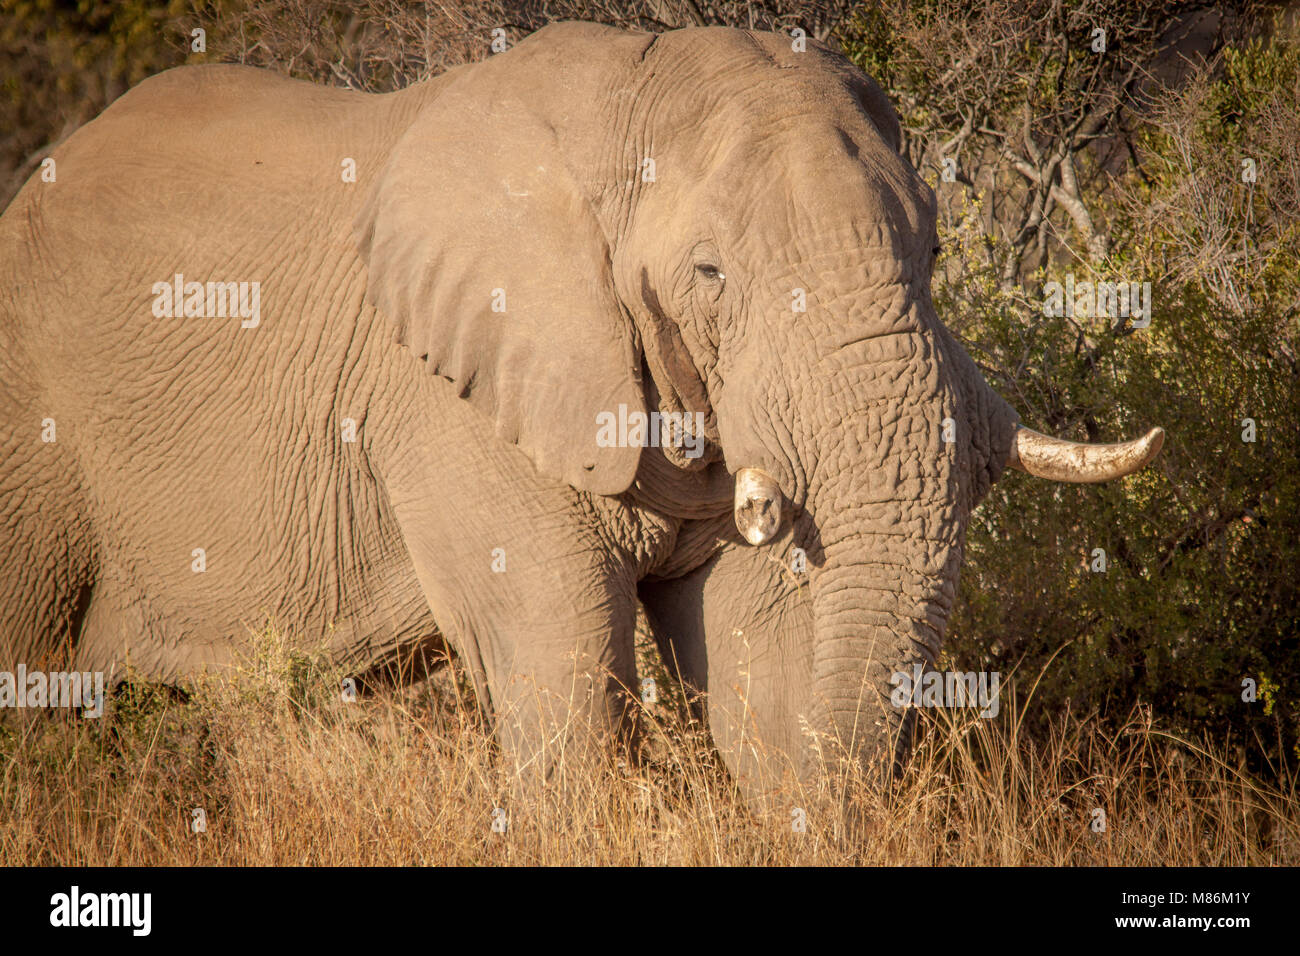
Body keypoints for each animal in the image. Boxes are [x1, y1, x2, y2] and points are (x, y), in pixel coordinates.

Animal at [0, 22, 1159, 790]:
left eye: (934, 244)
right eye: (709, 273)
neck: (623, 104)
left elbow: (768, 660)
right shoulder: (448, 392)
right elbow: (559, 676)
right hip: (29, 424)